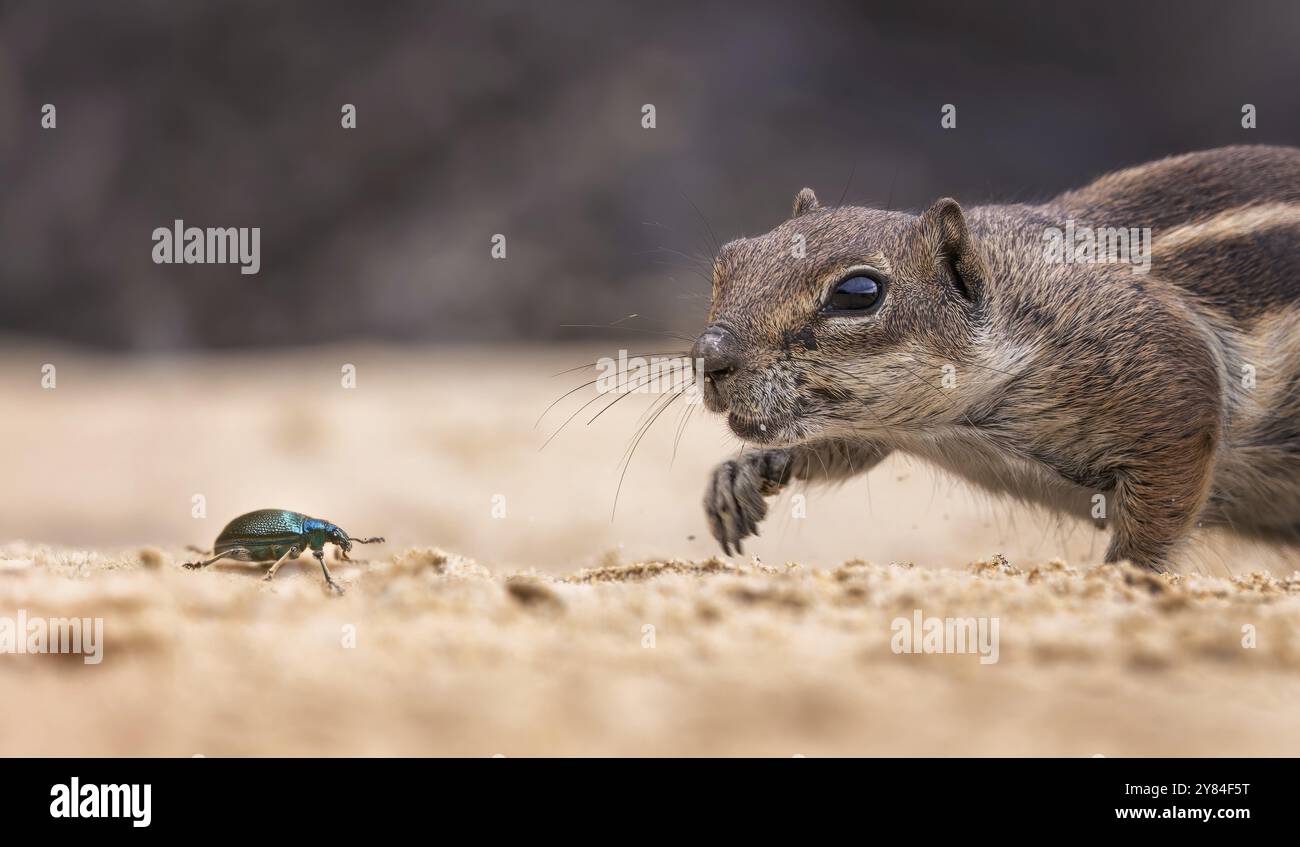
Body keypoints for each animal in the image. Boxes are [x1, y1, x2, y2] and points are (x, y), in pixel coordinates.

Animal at [696, 144, 1300, 568]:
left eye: (857, 292)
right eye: (726, 261)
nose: (709, 354)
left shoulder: (1174, 392)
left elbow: (1162, 514)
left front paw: (1124, 577)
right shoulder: (879, 424)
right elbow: (846, 449)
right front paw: (741, 476)